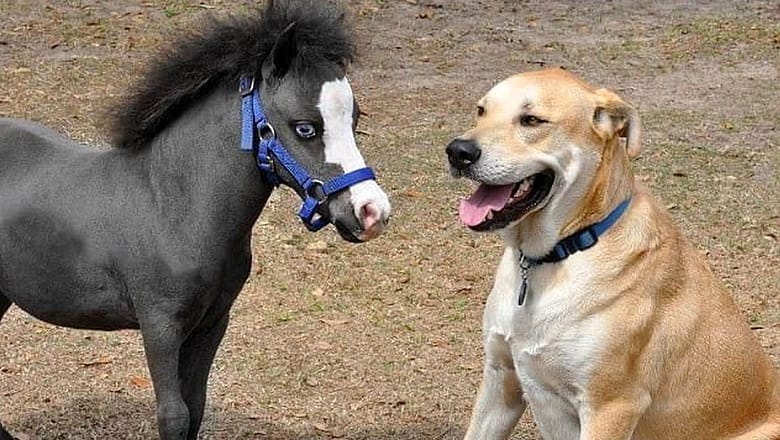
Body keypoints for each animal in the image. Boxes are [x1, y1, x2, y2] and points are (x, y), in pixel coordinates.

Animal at [0, 1, 391, 439]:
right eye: (305, 127)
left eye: (355, 119)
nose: (372, 212)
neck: (175, 207)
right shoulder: (161, 326)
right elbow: (174, 415)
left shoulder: (212, 322)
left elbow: (197, 406)